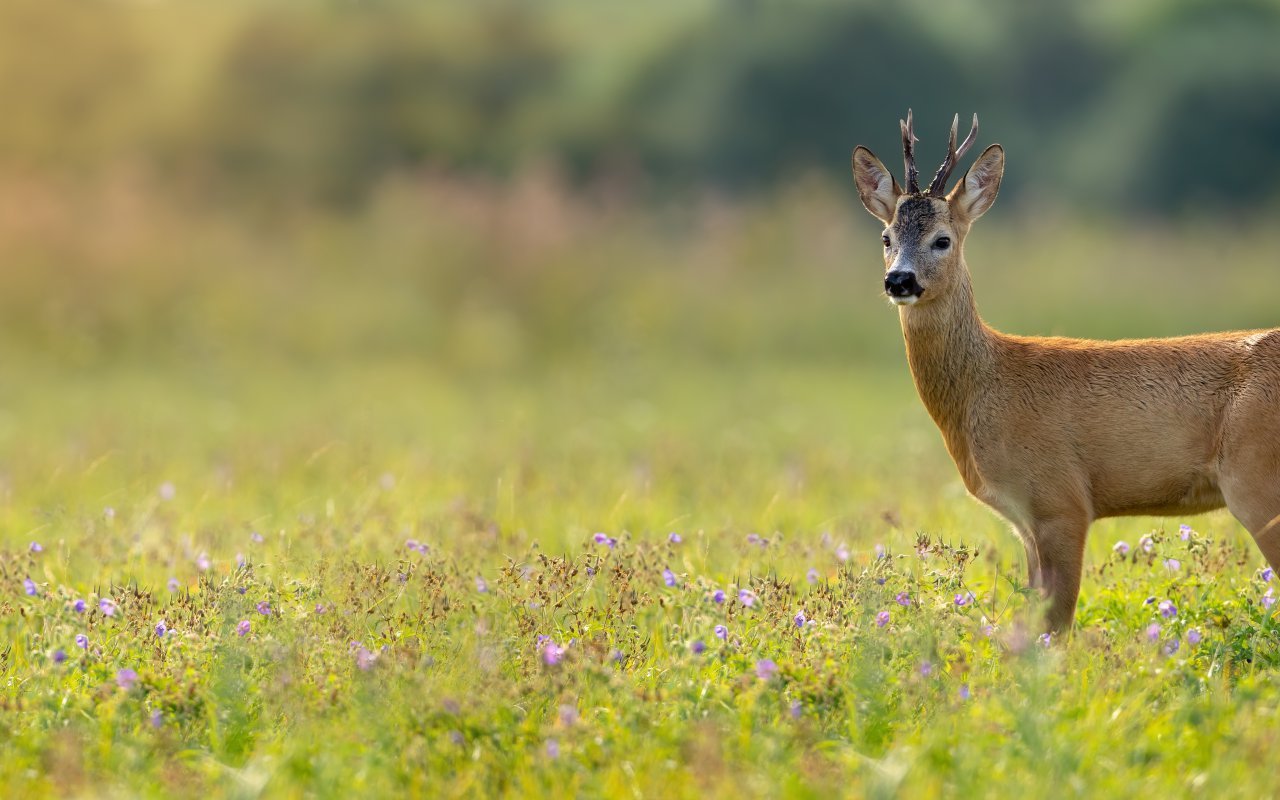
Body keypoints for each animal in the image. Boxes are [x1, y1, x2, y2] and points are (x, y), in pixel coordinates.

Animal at [850, 110, 1280, 633]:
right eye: (886, 237)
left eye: (942, 239)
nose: (899, 280)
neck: (986, 387)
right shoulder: (1026, 521)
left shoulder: (1062, 500)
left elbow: (1056, 625)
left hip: (1257, 480)